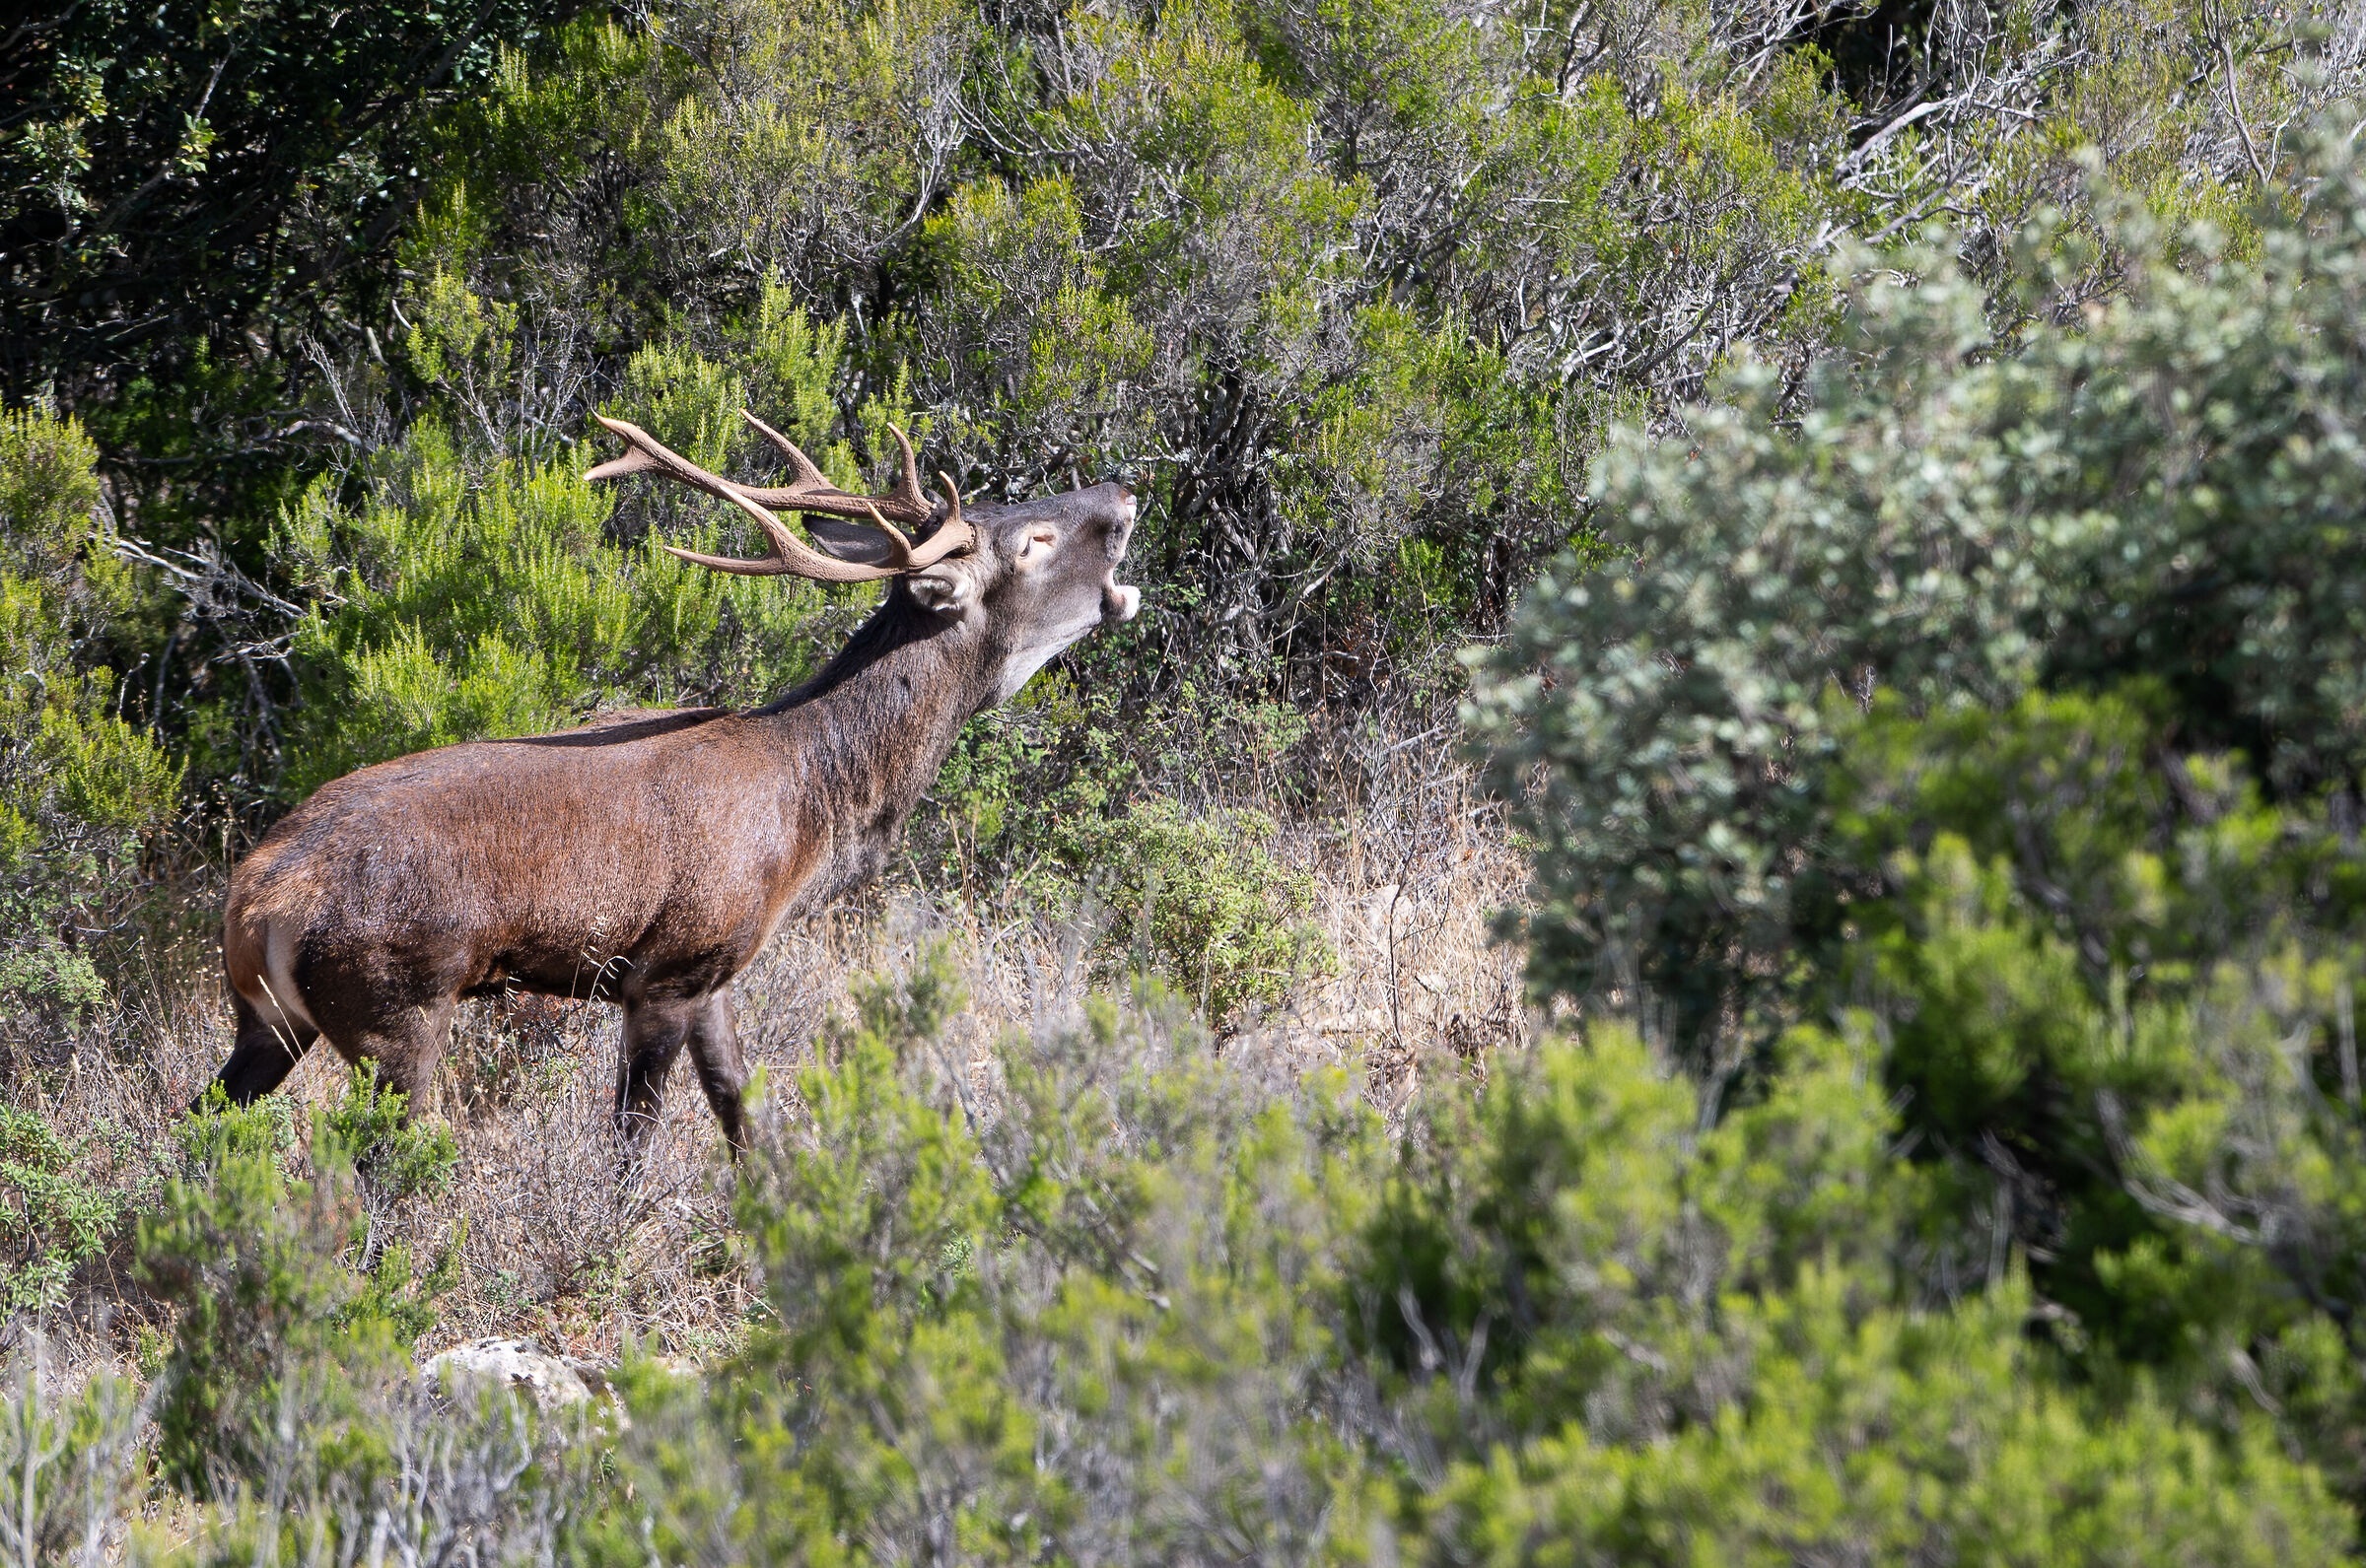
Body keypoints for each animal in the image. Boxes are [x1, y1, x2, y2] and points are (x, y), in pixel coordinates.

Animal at [202, 410, 1140, 1153]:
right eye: (1033, 542)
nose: (1126, 491)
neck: (808, 807)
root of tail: (256, 902)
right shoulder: (667, 965)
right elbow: (632, 1139)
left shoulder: (720, 971)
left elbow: (740, 1109)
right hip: (393, 1006)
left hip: (274, 1019)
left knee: (203, 1121)